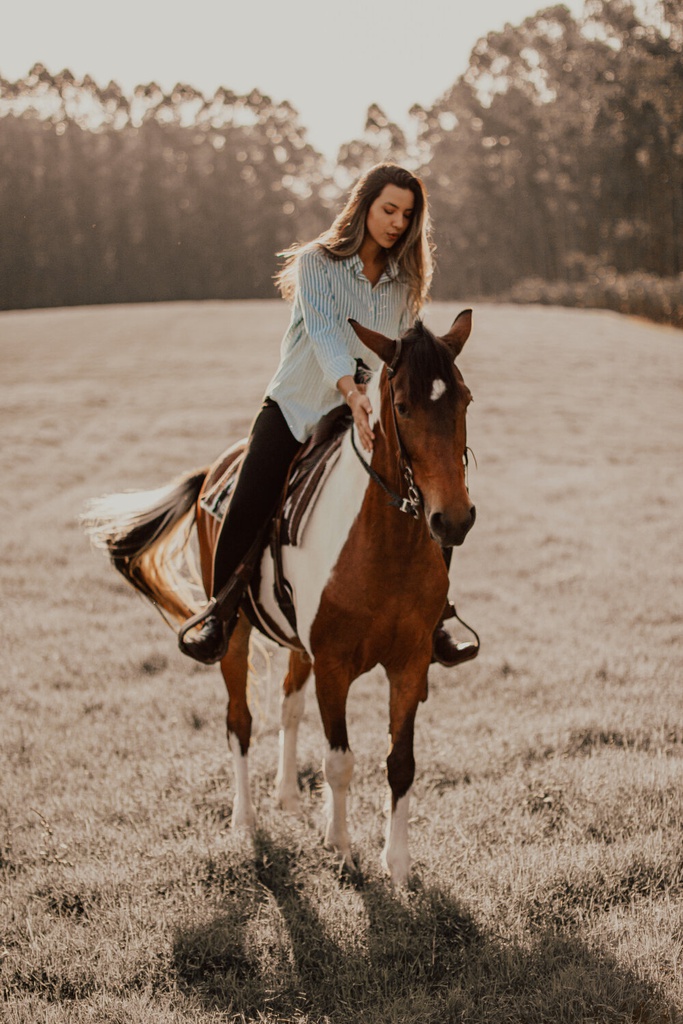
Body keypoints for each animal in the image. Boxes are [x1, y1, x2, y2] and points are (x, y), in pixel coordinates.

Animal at [83, 307, 475, 884]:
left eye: (465, 399)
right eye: (402, 405)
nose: (453, 519)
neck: (383, 545)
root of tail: (216, 469)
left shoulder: (410, 664)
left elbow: (400, 764)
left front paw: (398, 864)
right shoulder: (333, 667)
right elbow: (339, 762)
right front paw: (343, 850)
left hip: (298, 644)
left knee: (289, 706)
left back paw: (287, 796)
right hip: (236, 634)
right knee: (240, 722)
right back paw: (244, 819)